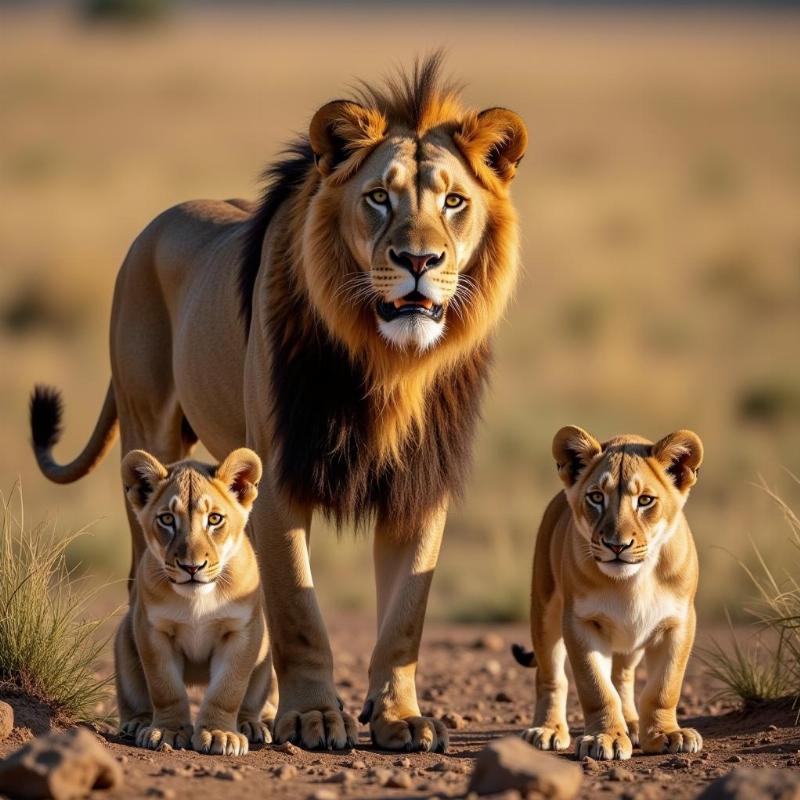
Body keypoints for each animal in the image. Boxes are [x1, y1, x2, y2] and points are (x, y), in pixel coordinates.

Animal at [29, 56, 524, 752]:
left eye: (455, 201)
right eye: (379, 197)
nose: (419, 260)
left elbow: (406, 615)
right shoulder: (281, 475)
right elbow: (297, 607)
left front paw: (400, 718)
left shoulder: (421, 485)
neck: (390, 363)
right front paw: (313, 716)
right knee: (137, 585)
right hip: (147, 432)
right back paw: (145, 714)